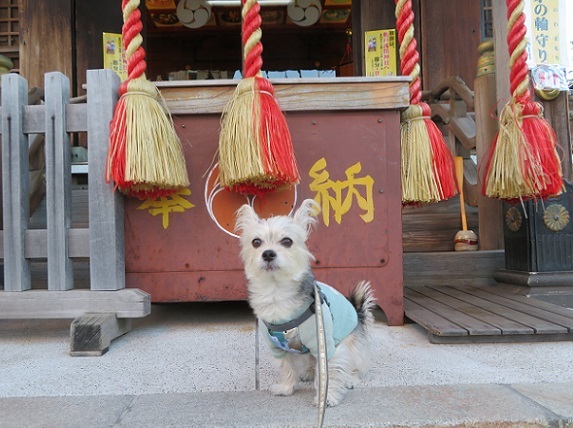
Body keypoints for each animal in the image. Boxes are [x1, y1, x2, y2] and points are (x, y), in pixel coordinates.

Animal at [233, 199, 376, 406]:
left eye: (287, 241)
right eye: (256, 242)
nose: (268, 254)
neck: (276, 292)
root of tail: (358, 312)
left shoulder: (326, 345)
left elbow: (329, 373)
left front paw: (327, 397)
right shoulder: (278, 348)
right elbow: (286, 368)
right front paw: (286, 388)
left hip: (351, 346)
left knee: (355, 365)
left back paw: (350, 378)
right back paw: (309, 372)